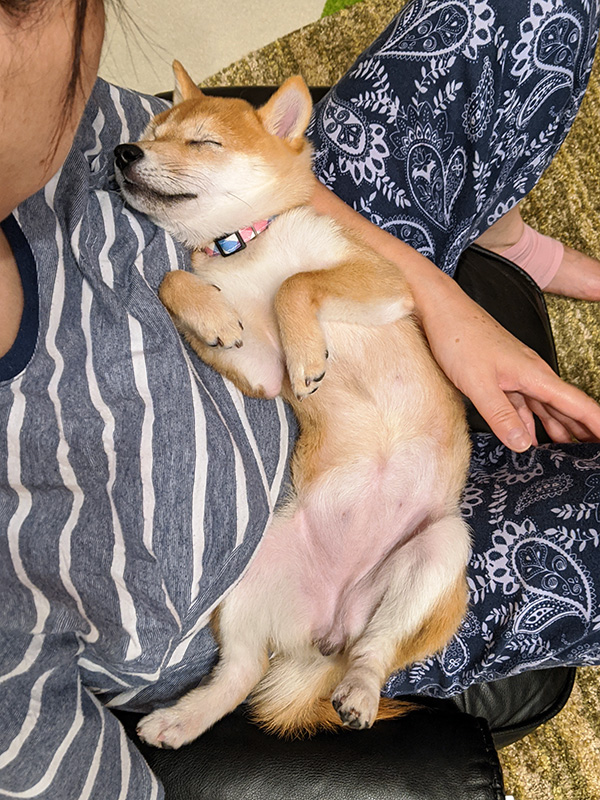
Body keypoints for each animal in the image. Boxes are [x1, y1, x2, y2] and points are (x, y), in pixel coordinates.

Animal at [115, 62, 472, 752]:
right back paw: (180, 718)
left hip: (441, 550)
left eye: (202, 142)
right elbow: (176, 281)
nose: (123, 153)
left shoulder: (382, 286)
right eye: (151, 133)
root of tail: (326, 629)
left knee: (377, 650)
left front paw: (308, 349)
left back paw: (358, 690)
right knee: (241, 674)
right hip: (244, 583)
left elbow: (296, 283)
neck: (243, 247)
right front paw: (213, 316)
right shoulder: (259, 368)